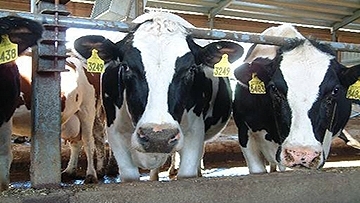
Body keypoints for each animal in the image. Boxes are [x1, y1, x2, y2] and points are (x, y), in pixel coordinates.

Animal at [74, 12, 243, 181]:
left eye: (191, 69)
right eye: (126, 67)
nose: (158, 137)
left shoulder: (195, 132)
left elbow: (187, 172)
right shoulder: (115, 133)